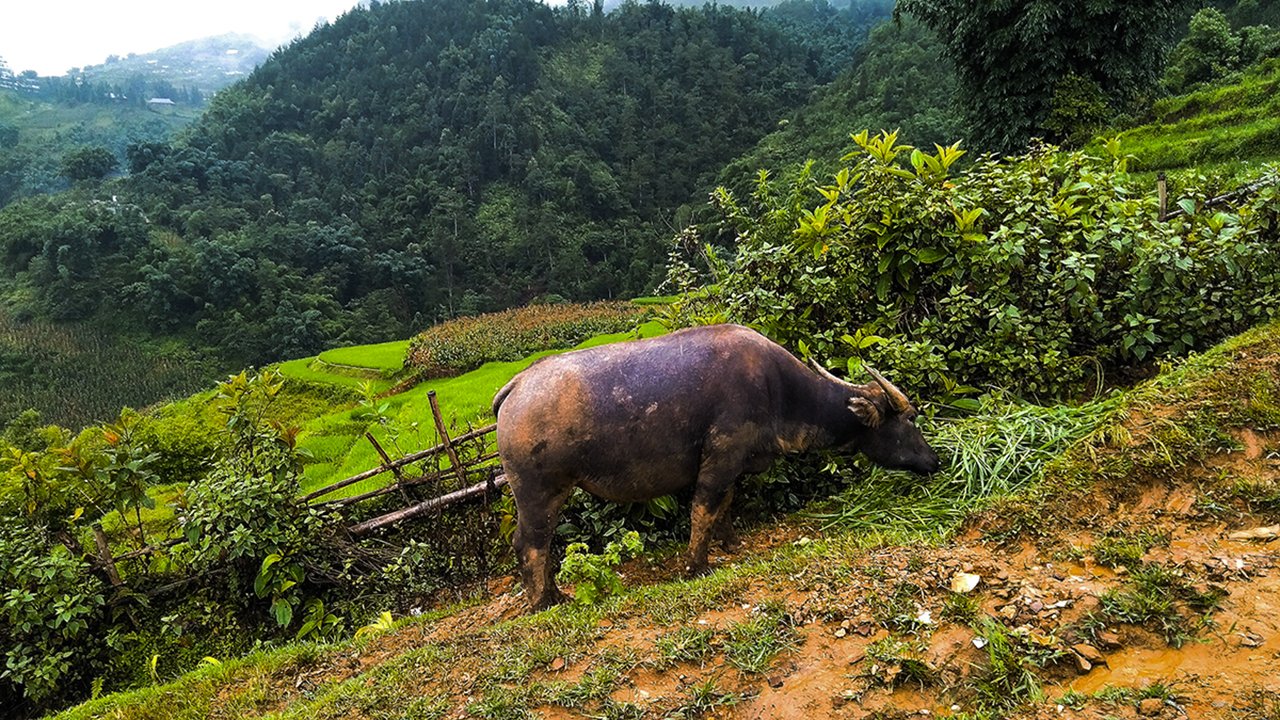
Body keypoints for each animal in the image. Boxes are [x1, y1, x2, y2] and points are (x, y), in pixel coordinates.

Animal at [493, 323, 940, 610]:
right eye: (910, 418)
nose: (935, 460)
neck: (777, 388)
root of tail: (517, 386)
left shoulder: (735, 463)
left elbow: (726, 505)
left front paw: (730, 543)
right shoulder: (720, 458)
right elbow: (704, 510)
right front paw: (696, 565)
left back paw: (553, 593)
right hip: (538, 490)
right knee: (531, 542)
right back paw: (544, 601)